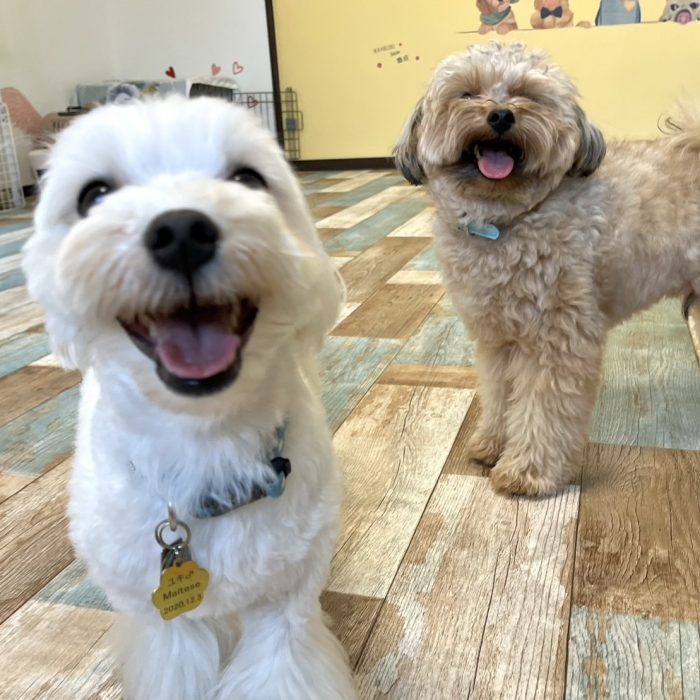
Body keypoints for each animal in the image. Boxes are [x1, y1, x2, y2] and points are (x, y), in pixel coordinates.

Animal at [23, 98, 356, 700]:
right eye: (93, 196)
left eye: (249, 179)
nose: (180, 230)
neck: (207, 440)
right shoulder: (167, 626)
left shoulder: (286, 606)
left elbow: (279, 668)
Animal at [396, 42, 700, 498]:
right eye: (467, 93)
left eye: (528, 95)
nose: (501, 116)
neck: (507, 221)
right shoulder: (499, 337)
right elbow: (501, 394)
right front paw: (493, 444)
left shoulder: (557, 339)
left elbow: (543, 409)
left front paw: (526, 471)